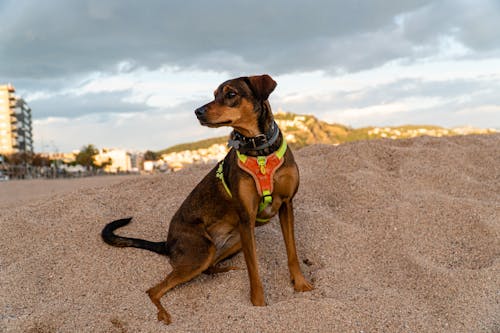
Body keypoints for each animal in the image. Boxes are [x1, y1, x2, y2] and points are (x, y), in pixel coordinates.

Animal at [101, 74, 312, 322]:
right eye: (214, 94)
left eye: (231, 94)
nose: (197, 111)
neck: (260, 150)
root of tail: (168, 242)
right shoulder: (246, 217)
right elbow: (254, 270)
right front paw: (259, 304)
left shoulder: (286, 205)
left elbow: (292, 253)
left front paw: (301, 284)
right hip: (203, 250)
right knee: (154, 290)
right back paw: (164, 314)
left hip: (237, 240)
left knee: (210, 268)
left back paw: (227, 271)